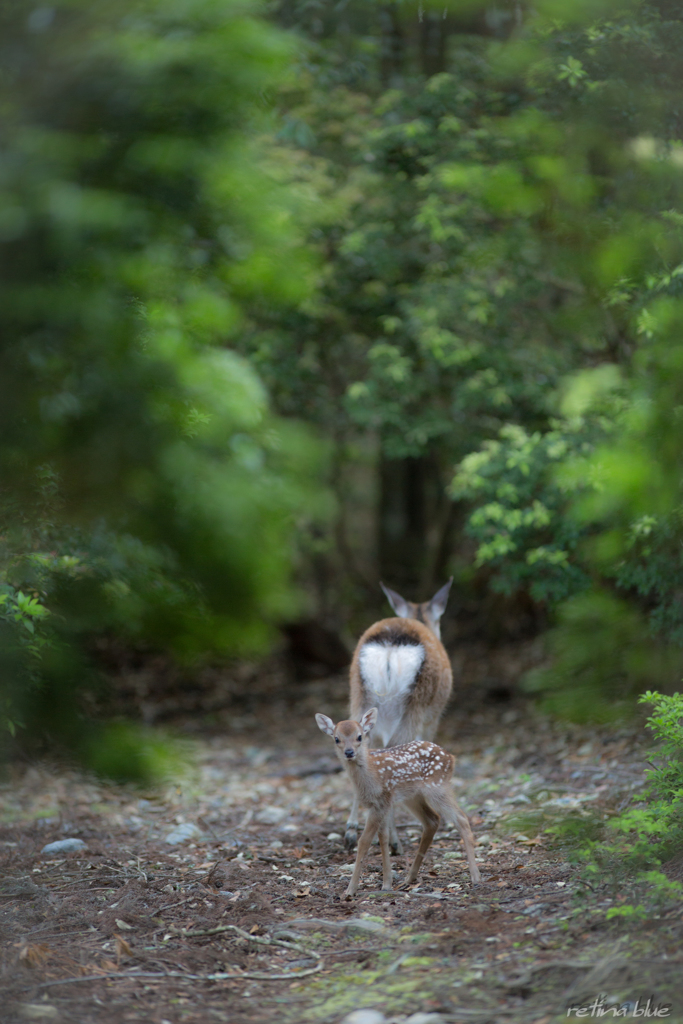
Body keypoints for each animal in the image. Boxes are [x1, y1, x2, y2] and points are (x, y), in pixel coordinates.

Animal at [348, 581, 454, 851]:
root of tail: (390, 647)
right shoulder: (433, 718)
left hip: (359, 695)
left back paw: (351, 832)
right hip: (416, 703)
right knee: (396, 750)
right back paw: (394, 841)